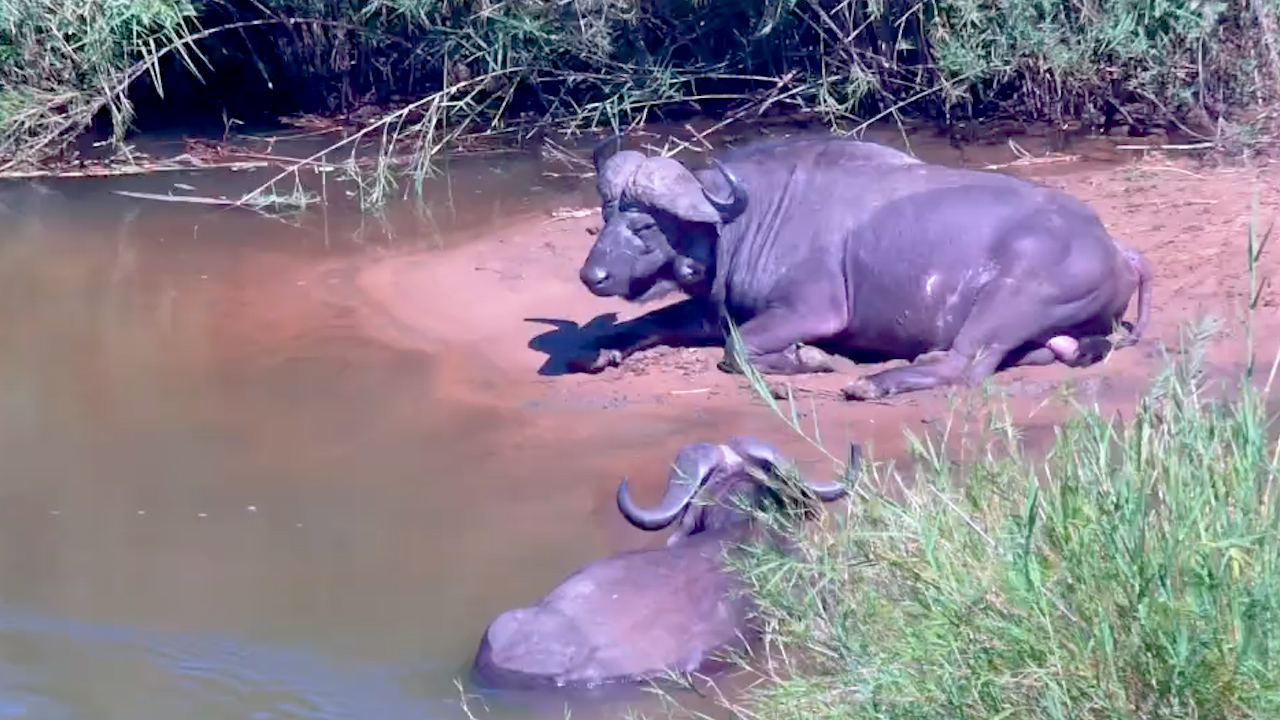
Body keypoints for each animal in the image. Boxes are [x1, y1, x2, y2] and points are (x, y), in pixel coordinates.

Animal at [570, 133, 1152, 401]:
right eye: (605, 217)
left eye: (645, 225)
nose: (591, 277)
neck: (748, 220)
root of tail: (1117, 247)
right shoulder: (714, 312)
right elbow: (649, 322)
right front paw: (599, 349)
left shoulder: (811, 310)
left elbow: (736, 351)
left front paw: (812, 360)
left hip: (1010, 297)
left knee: (966, 364)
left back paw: (873, 383)